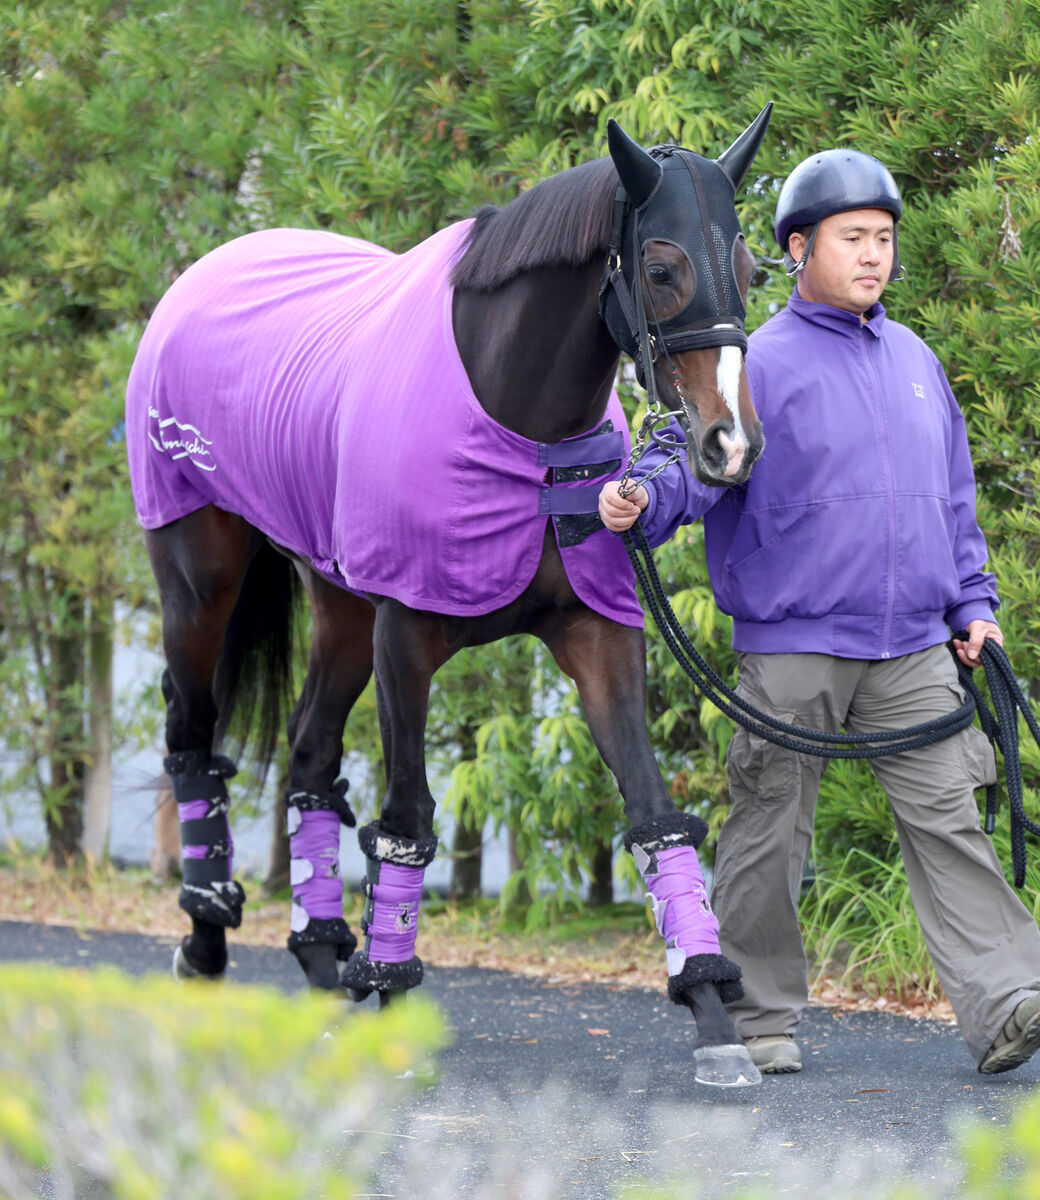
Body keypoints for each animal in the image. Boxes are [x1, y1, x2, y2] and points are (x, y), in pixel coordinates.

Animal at [124, 110, 772, 1089]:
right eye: (662, 268)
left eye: (751, 264)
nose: (730, 444)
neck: (515, 424)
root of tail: (205, 272)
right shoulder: (405, 644)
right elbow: (406, 820)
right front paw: (392, 993)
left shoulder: (596, 631)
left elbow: (651, 806)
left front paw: (711, 1010)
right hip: (200, 586)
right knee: (192, 737)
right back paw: (206, 942)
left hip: (340, 605)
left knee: (310, 755)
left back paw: (326, 959)